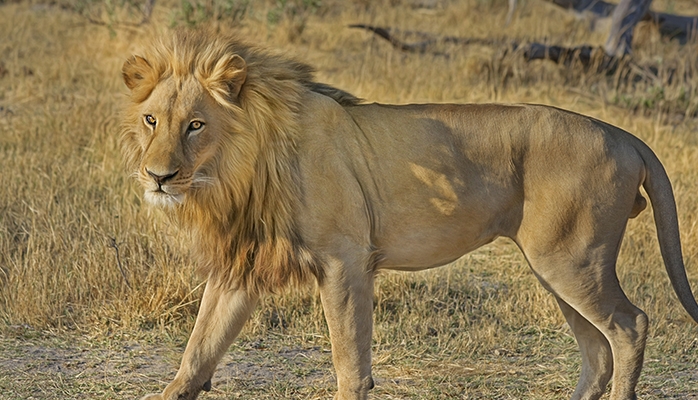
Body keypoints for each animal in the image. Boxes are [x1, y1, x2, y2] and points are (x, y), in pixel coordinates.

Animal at [121, 30, 696, 400]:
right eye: (152, 120)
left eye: (196, 125)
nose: (158, 176)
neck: (237, 171)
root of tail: (623, 135)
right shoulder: (242, 265)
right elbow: (199, 347)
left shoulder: (345, 259)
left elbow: (349, 361)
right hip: (555, 267)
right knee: (596, 351)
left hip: (572, 260)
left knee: (629, 326)